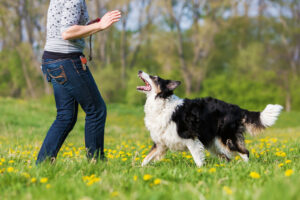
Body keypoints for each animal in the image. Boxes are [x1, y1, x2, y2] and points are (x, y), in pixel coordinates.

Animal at [137, 70, 282, 167]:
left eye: (154, 77)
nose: (140, 71)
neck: (162, 102)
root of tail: (238, 109)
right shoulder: (160, 144)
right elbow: (145, 159)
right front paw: (138, 170)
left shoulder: (191, 139)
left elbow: (198, 160)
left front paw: (200, 172)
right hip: (215, 144)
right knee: (227, 158)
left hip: (227, 139)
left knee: (245, 152)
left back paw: (247, 168)